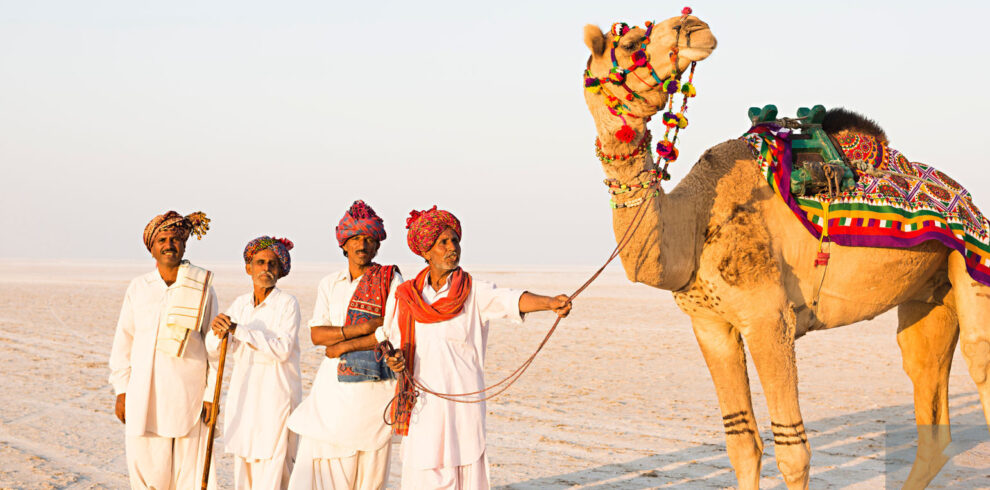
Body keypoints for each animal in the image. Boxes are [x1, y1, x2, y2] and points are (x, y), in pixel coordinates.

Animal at [580, 9, 990, 488]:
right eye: (630, 44)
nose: (693, 25)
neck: (694, 220)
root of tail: (968, 201)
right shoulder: (710, 323)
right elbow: (741, 446)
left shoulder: (768, 316)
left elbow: (793, 452)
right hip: (930, 294)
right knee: (926, 394)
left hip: (974, 265)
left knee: (979, 359)